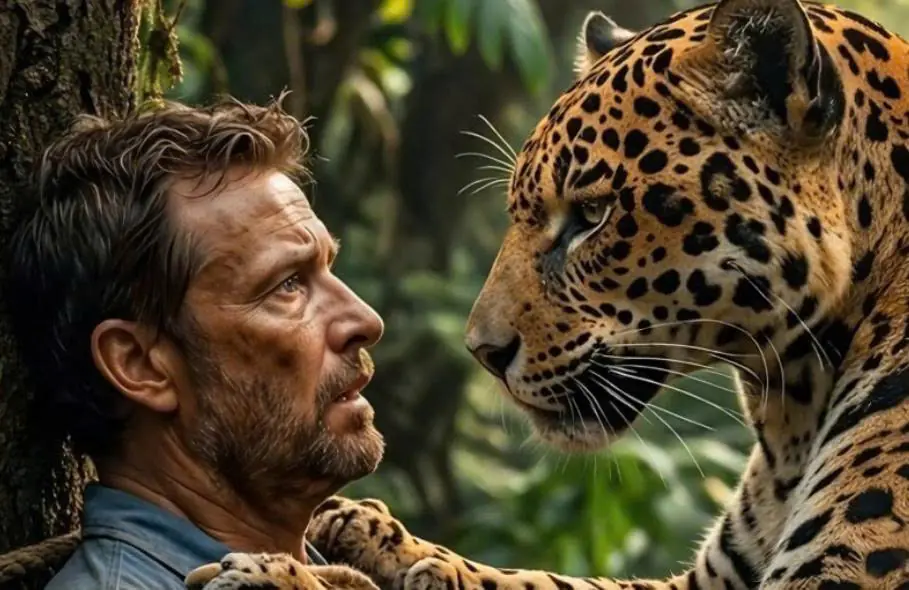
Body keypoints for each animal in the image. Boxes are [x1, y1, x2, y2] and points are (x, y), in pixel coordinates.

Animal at [187, 0, 909, 588]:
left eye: (591, 215)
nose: (483, 353)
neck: (789, 406)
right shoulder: (706, 580)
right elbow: (551, 581)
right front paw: (374, 533)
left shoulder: (833, 574)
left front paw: (279, 571)